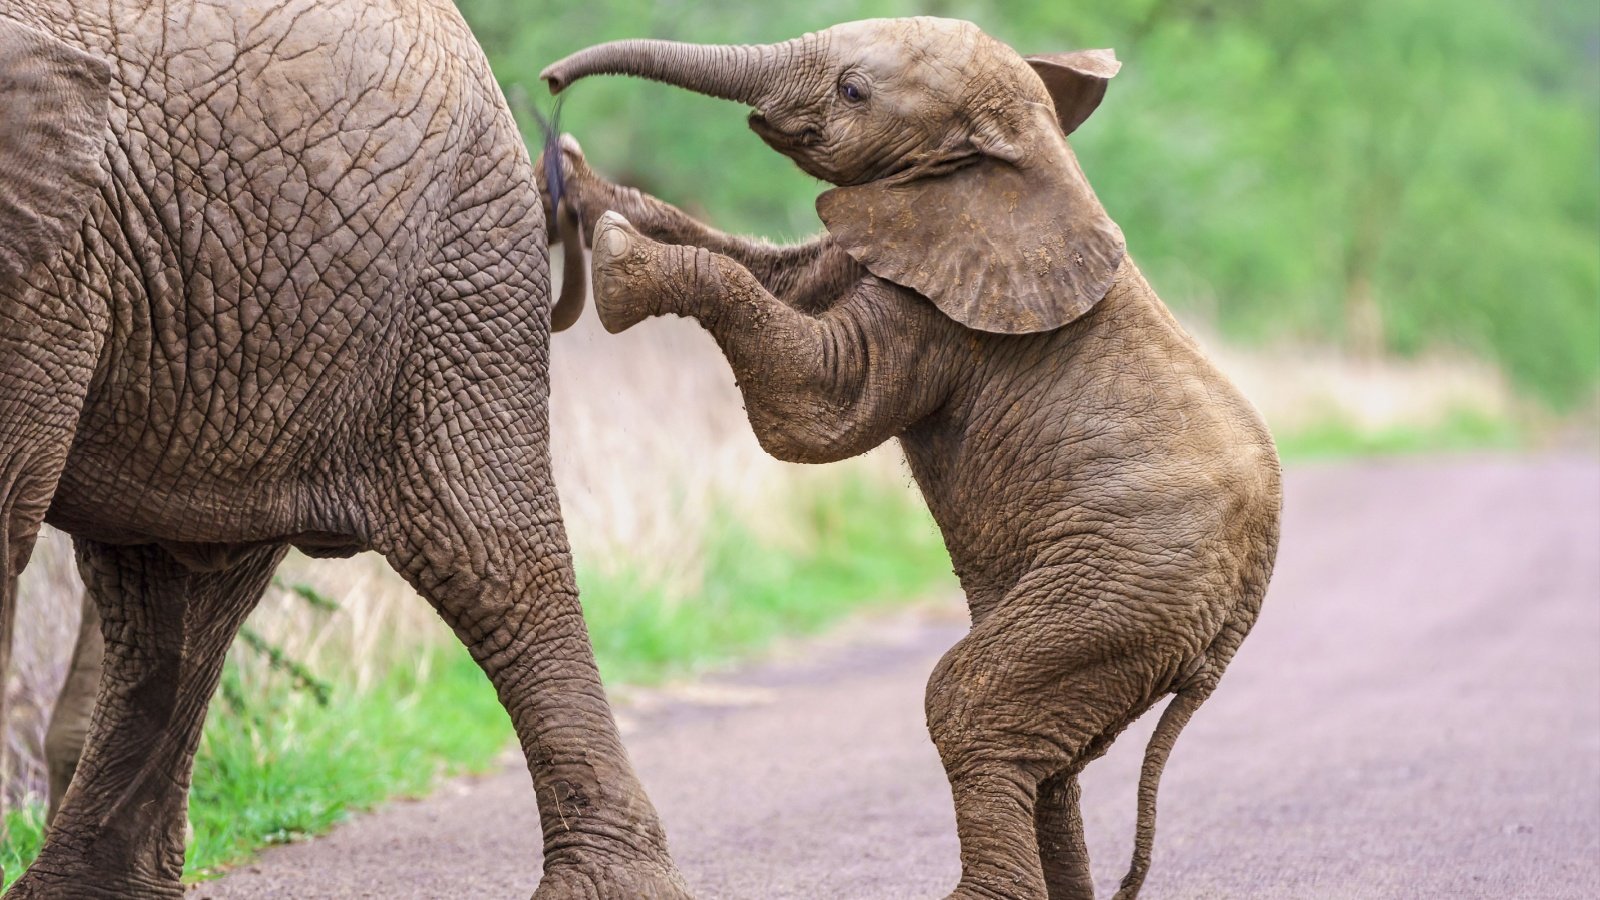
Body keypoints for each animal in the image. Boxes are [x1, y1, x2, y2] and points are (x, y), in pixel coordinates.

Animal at [544, 15, 1280, 896]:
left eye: (853, 89)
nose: (551, 82)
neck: (1017, 150)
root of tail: (1246, 600)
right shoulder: (902, 235)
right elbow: (782, 273)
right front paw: (580, 177)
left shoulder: (943, 313)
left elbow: (817, 409)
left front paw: (619, 258)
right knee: (1051, 755)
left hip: (1135, 584)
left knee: (970, 706)